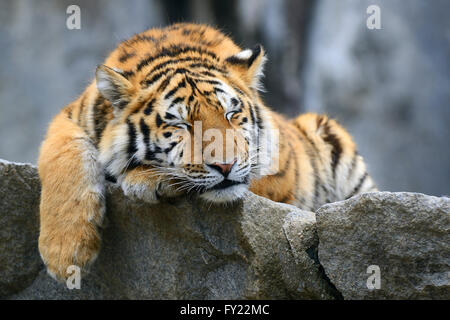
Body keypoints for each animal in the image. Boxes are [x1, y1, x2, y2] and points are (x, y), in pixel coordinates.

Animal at [37, 23, 376, 282]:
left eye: (232, 114)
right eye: (181, 124)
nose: (225, 166)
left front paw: (146, 179)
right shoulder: (69, 117)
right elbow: (61, 158)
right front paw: (65, 253)